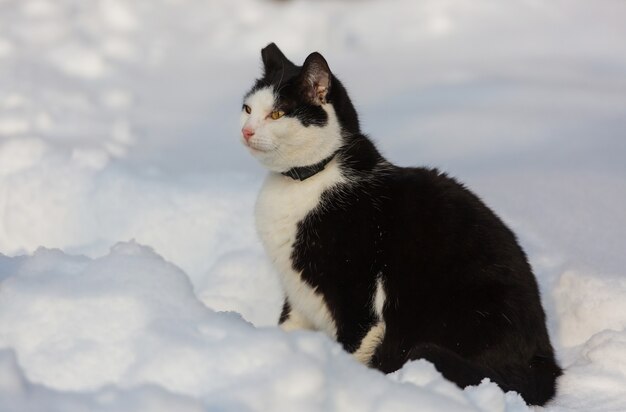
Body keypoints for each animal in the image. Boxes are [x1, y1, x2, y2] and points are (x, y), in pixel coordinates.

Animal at [239, 42, 560, 406]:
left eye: (277, 114)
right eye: (247, 108)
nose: (246, 131)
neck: (304, 182)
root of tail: (545, 360)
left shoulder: (358, 296)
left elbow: (354, 348)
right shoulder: (296, 295)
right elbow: (287, 327)